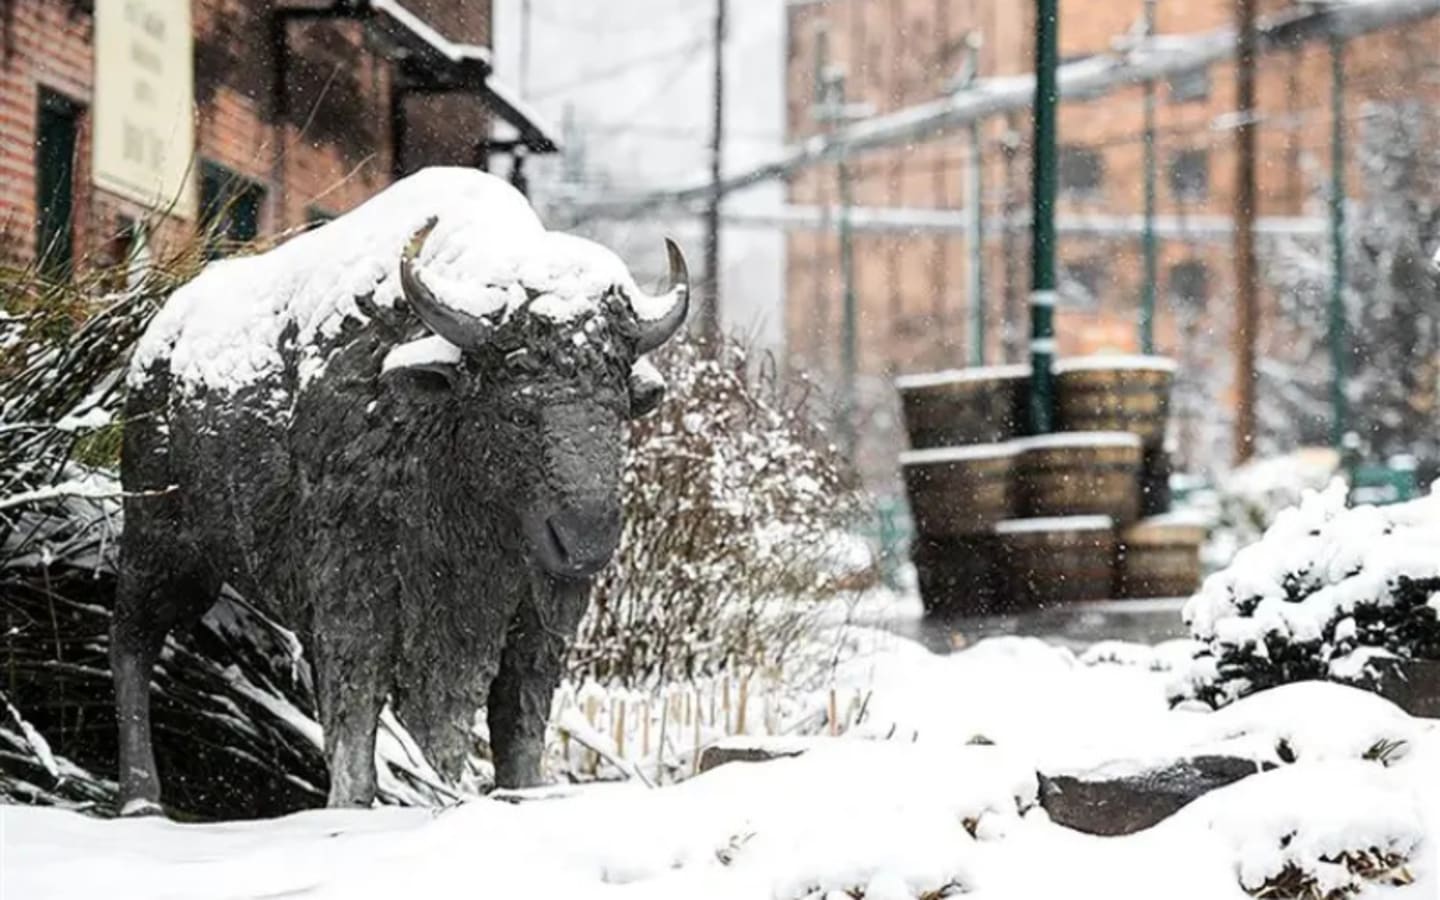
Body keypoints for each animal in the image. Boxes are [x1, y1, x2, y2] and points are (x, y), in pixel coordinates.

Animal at [112, 168, 688, 813]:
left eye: (618, 410)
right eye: (516, 408)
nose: (584, 542)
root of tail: (155, 347)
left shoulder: (531, 627)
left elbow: (514, 733)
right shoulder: (357, 599)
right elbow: (358, 723)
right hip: (161, 548)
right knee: (131, 640)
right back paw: (141, 799)